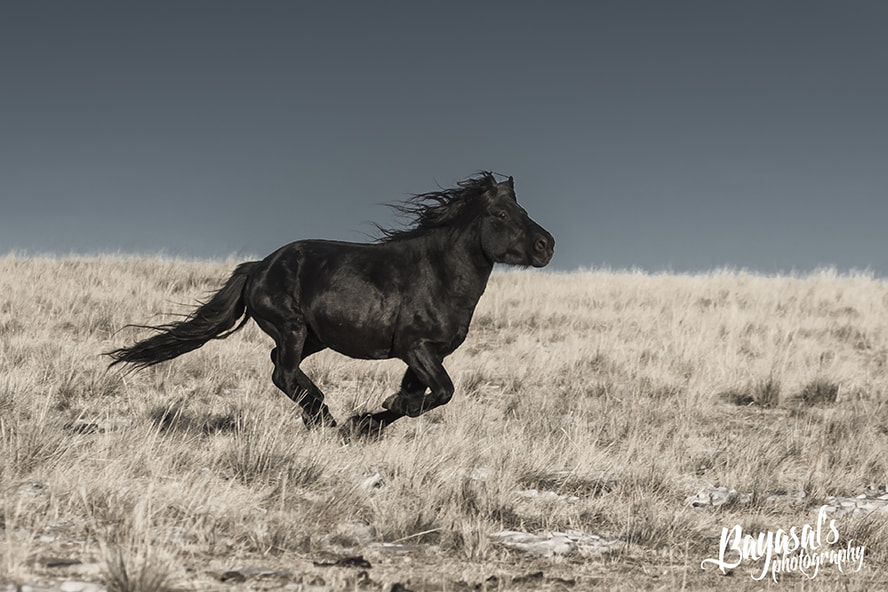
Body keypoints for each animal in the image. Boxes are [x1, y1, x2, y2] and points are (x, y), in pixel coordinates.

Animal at [107, 172, 554, 436]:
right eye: (501, 213)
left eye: (522, 209)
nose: (545, 245)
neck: (437, 274)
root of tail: (258, 267)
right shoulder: (416, 348)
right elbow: (442, 392)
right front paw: (369, 416)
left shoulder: (426, 355)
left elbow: (420, 398)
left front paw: (369, 421)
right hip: (291, 328)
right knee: (283, 373)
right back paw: (324, 415)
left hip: (312, 337)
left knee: (279, 366)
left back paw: (320, 417)